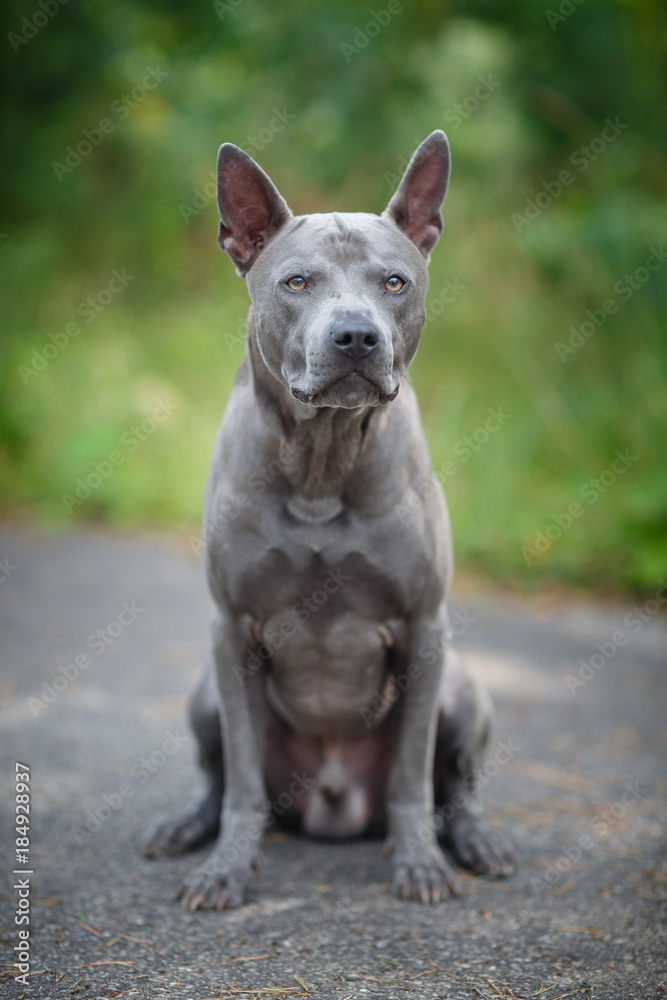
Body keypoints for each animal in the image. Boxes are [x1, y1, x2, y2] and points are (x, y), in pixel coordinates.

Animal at [144, 131, 516, 908]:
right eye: (296, 283)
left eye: (394, 283)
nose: (354, 337)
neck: (321, 462)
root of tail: (334, 805)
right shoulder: (232, 631)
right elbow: (241, 780)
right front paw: (226, 869)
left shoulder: (423, 628)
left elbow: (411, 775)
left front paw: (420, 864)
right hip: (204, 694)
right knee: (218, 778)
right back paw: (186, 827)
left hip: (462, 686)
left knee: (453, 788)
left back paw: (473, 840)